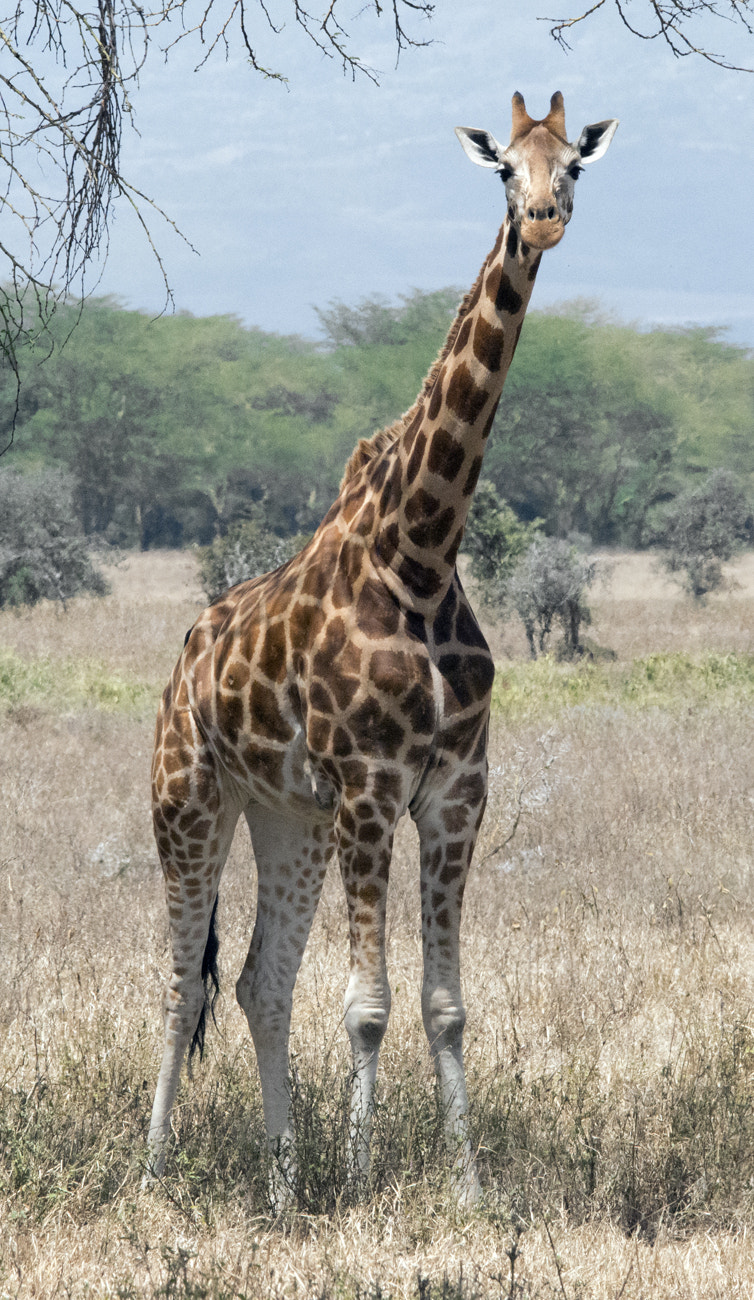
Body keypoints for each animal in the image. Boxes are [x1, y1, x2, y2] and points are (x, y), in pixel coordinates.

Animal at [146, 92, 618, 1205]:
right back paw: (152, 1172)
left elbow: (444, 1004)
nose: (542, 220)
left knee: (257, 982)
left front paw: (469, 1188)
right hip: (189, 799)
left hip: (288, 819)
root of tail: (185, 661)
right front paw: (366, 1184)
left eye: (574, 163)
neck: (422, 554)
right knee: (178, 978)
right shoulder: (370, 786)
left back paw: (283, 1186)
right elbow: (369, 1004)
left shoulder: (453, 793)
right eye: (505, 169)